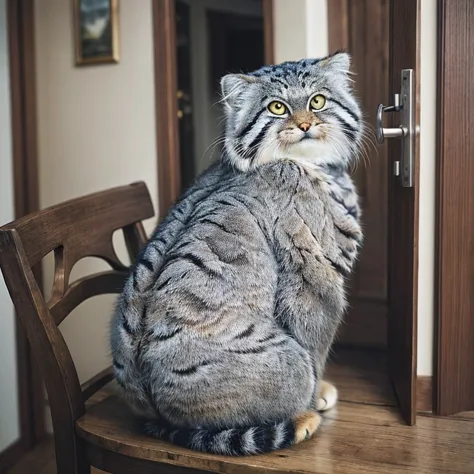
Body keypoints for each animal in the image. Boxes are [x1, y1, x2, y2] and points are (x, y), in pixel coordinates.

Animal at [110, 51, 362, 456]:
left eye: (317, 101)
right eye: (277, 107)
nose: (305, 124)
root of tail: (151, 410)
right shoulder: (316, 284)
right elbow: (318, 351)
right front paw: (319, 393)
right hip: (291, 364)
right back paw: (302, 417)